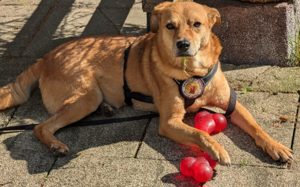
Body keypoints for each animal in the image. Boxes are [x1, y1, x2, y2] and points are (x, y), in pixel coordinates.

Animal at [0, 1, 292, 165]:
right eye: (170, 26)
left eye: (197, 24)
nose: (182, 44)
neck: (191, 72)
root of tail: (46, 57)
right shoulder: (169, 122)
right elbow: (200, 133)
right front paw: (217, 148)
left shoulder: (233, 104)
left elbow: (257, 128)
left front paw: (276, 146)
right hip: (85, 97)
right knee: (40, 127)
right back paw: (55, 144)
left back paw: (107, 109)